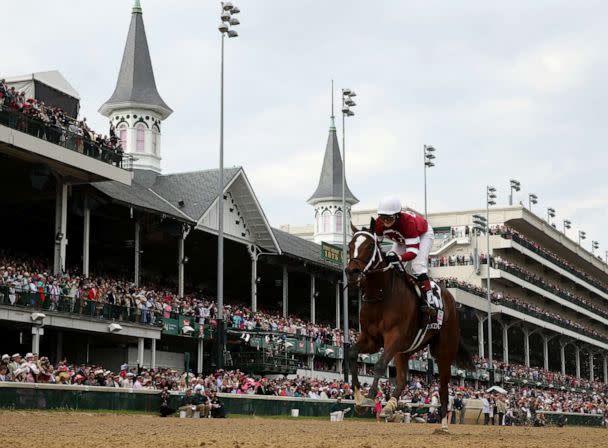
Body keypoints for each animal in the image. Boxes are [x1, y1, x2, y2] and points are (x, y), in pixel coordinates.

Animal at [344, 219, 472, 432]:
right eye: (350, 246)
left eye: (369, 246)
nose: (352, 272)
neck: (382, 294)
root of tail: (451, 299)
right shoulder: (371, 339)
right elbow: (353, 353)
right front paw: (358, 398)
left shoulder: (394, 337)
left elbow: (379, 365)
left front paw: (370, 397)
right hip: (405, 349)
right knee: (404, 378)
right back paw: (389, 407)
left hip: (443, 352)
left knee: (443, 387)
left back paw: (444, 425)